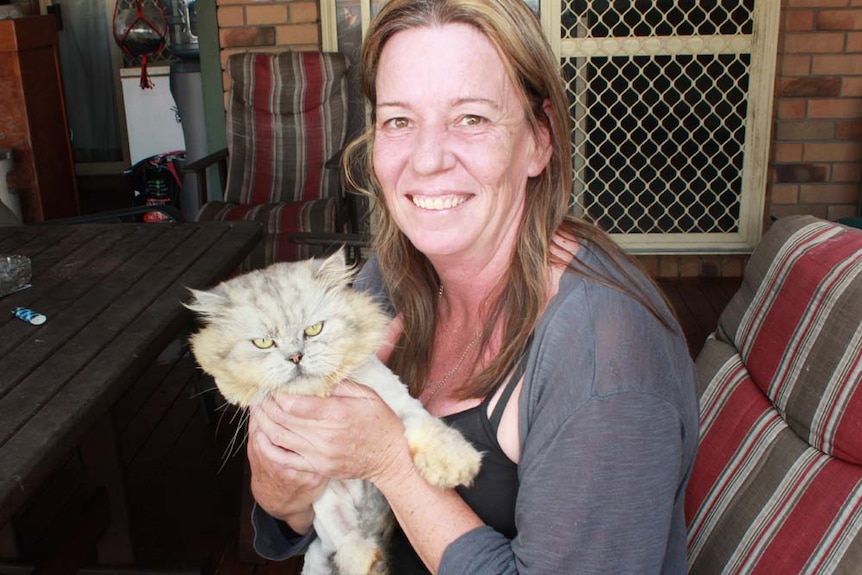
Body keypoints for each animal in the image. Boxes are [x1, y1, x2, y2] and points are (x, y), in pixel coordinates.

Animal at [185, 251, 482, 575]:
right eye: (263, 343)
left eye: (313, 330)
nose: (296, 357)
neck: (321, 394)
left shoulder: (395, 399)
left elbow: (425, 427)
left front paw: (456, 466)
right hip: (330, 513)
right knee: (346, 542)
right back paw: (364, 561)